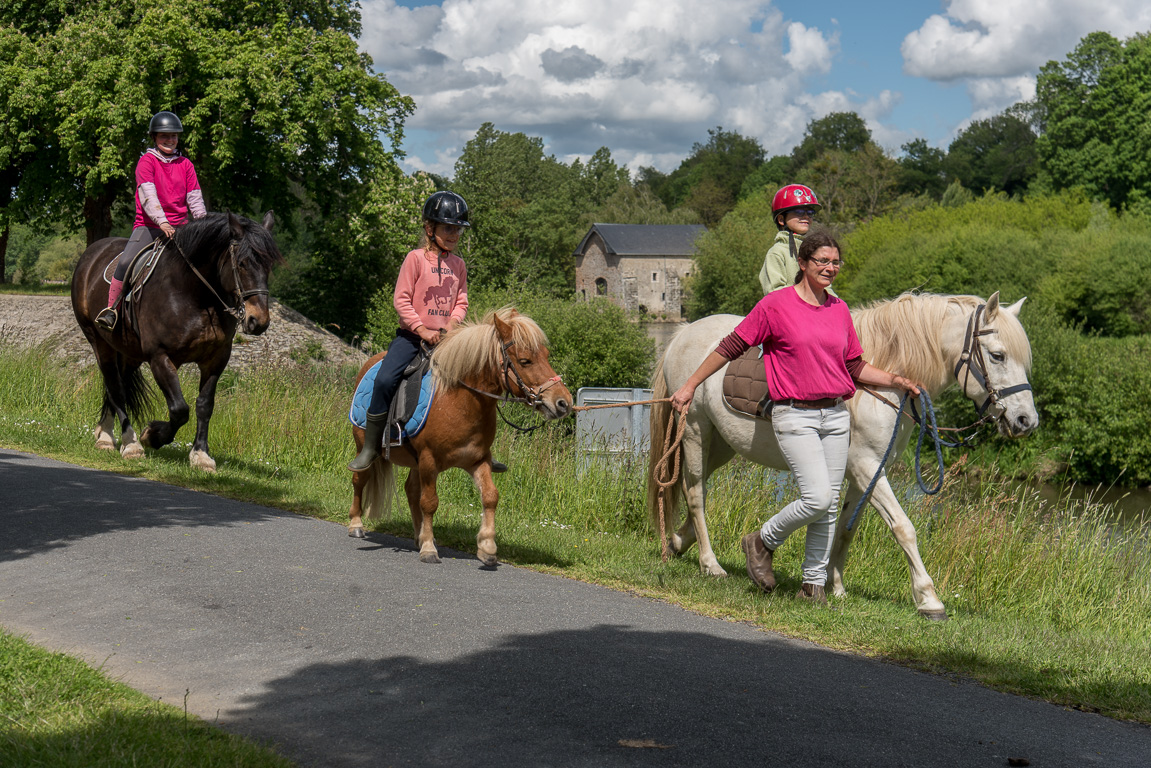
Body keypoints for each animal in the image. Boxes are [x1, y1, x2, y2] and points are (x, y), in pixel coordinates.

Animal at [70, 213, 281, 472]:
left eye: (268, 266)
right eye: (241, 263)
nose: (258, 321)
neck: (195, 295)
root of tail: (92, 252)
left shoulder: (217, 359)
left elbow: (204, 405)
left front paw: (201, 455)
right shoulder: (160, 357)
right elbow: (180, 409)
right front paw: (151, 435)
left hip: (129, 353)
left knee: (117, 385)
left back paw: (105, 434)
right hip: (100, 343)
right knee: (115, 387)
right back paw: (127, 443)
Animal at [345, 306, 570, 564]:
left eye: (546, 355)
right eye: (525, 361)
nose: (563, 403)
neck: (459, 401)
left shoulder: (477, 460)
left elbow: (490, 496)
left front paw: (487, 547)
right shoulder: (429, 460)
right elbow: (430, 502)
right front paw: (429, 549)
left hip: (415, 461)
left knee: (411, 490)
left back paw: (418, 535)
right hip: (364, 445)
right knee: (360, 479)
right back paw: (356, 524)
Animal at [649, 291, 1045, 621]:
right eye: (997, 355)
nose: (1026, 421)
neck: (881, 383)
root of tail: (683, 334)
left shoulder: (863, 472)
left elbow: (845, 528)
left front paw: (835, 586)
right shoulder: (867, 466)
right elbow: (904, 528)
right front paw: (929, 599)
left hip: (722, 445)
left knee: (693, 490)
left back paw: (678, 542)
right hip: (696, 433)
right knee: (696, 494)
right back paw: (710, 564)